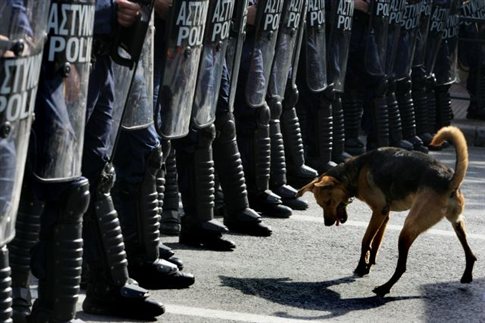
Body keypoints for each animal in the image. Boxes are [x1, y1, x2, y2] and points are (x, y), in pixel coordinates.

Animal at [296, 126, 474, 296]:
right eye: (320, 205)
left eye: (328, 202)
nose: (327, 224)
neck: (355, 171)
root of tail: (449, 181)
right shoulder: (384, 216)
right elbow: (375, 243)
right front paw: (367, 266)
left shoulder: (378, 212)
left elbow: (365, 241)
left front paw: (361, 267)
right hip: (456, 222)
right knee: (471, 254)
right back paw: (467, 275)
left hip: (408, 229)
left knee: (401, 266)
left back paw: (384, 288)